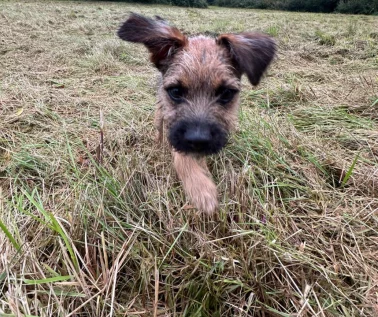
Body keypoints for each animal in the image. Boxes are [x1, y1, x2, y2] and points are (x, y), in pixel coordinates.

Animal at [116, 13, 276, 214]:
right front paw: (201, 189)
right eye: (176, 91)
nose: (198, 140)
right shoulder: (174, 129)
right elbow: (182, 158)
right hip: (160, 113)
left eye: (226, 93)